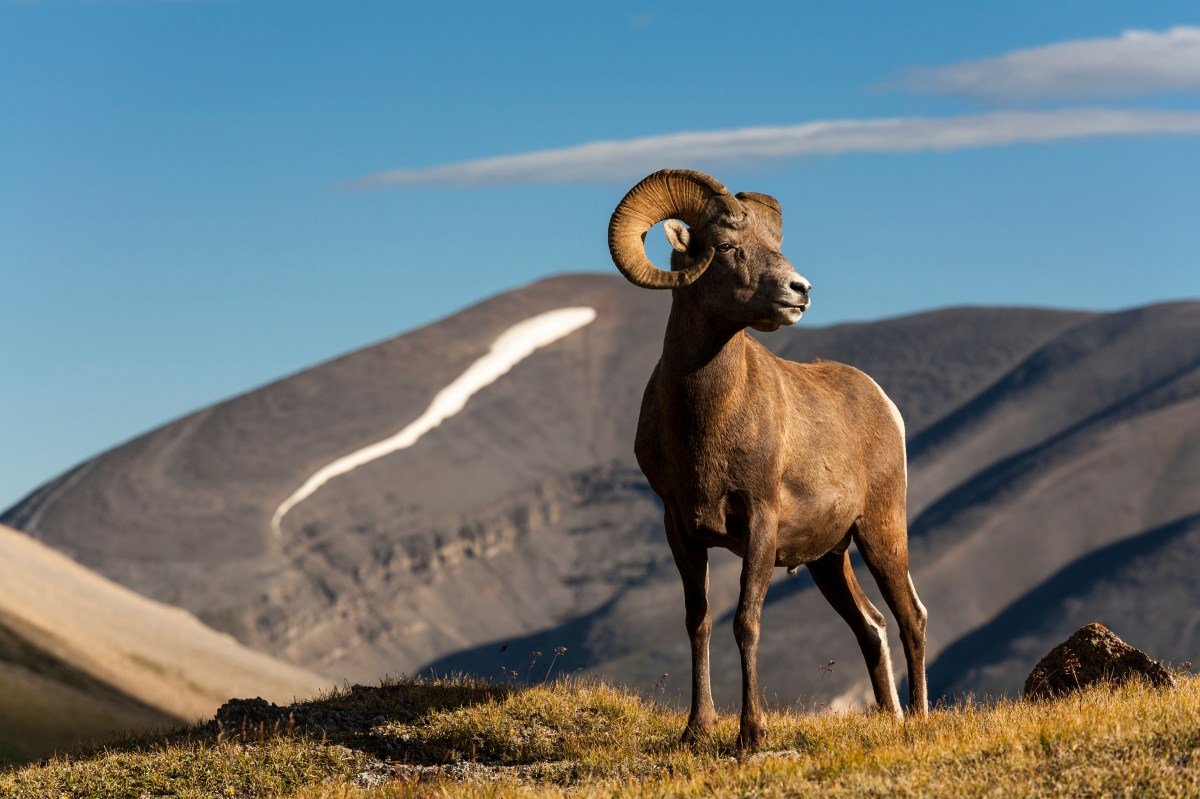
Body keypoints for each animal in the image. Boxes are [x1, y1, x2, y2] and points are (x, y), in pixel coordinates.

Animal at [609, 166, 926, 748]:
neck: (706, 422)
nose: (800, 291)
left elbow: (746, 622)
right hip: (830, 560)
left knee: (911, 617)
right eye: (727, 247)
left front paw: (750, 735)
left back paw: (918, 719)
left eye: (776, 246)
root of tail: (884, 403)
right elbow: (699, 621)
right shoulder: (680, 527)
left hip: (880, 531)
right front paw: (697, 730)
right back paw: (892, 718)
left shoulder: (759, 520)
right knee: (872, 626)